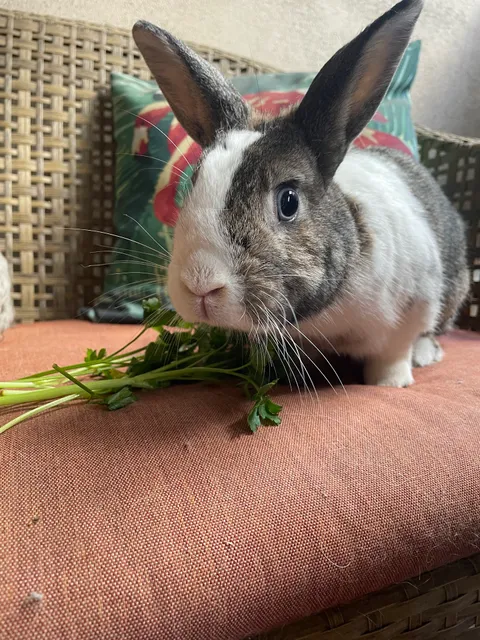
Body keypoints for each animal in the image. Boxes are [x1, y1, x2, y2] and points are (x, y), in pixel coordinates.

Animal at [132, 0, 470, 388]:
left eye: (288, 201)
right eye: (193, 184)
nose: (200, 286)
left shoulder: (413, 309)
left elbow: (392, 355)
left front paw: (391, 383)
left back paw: (425, 354)